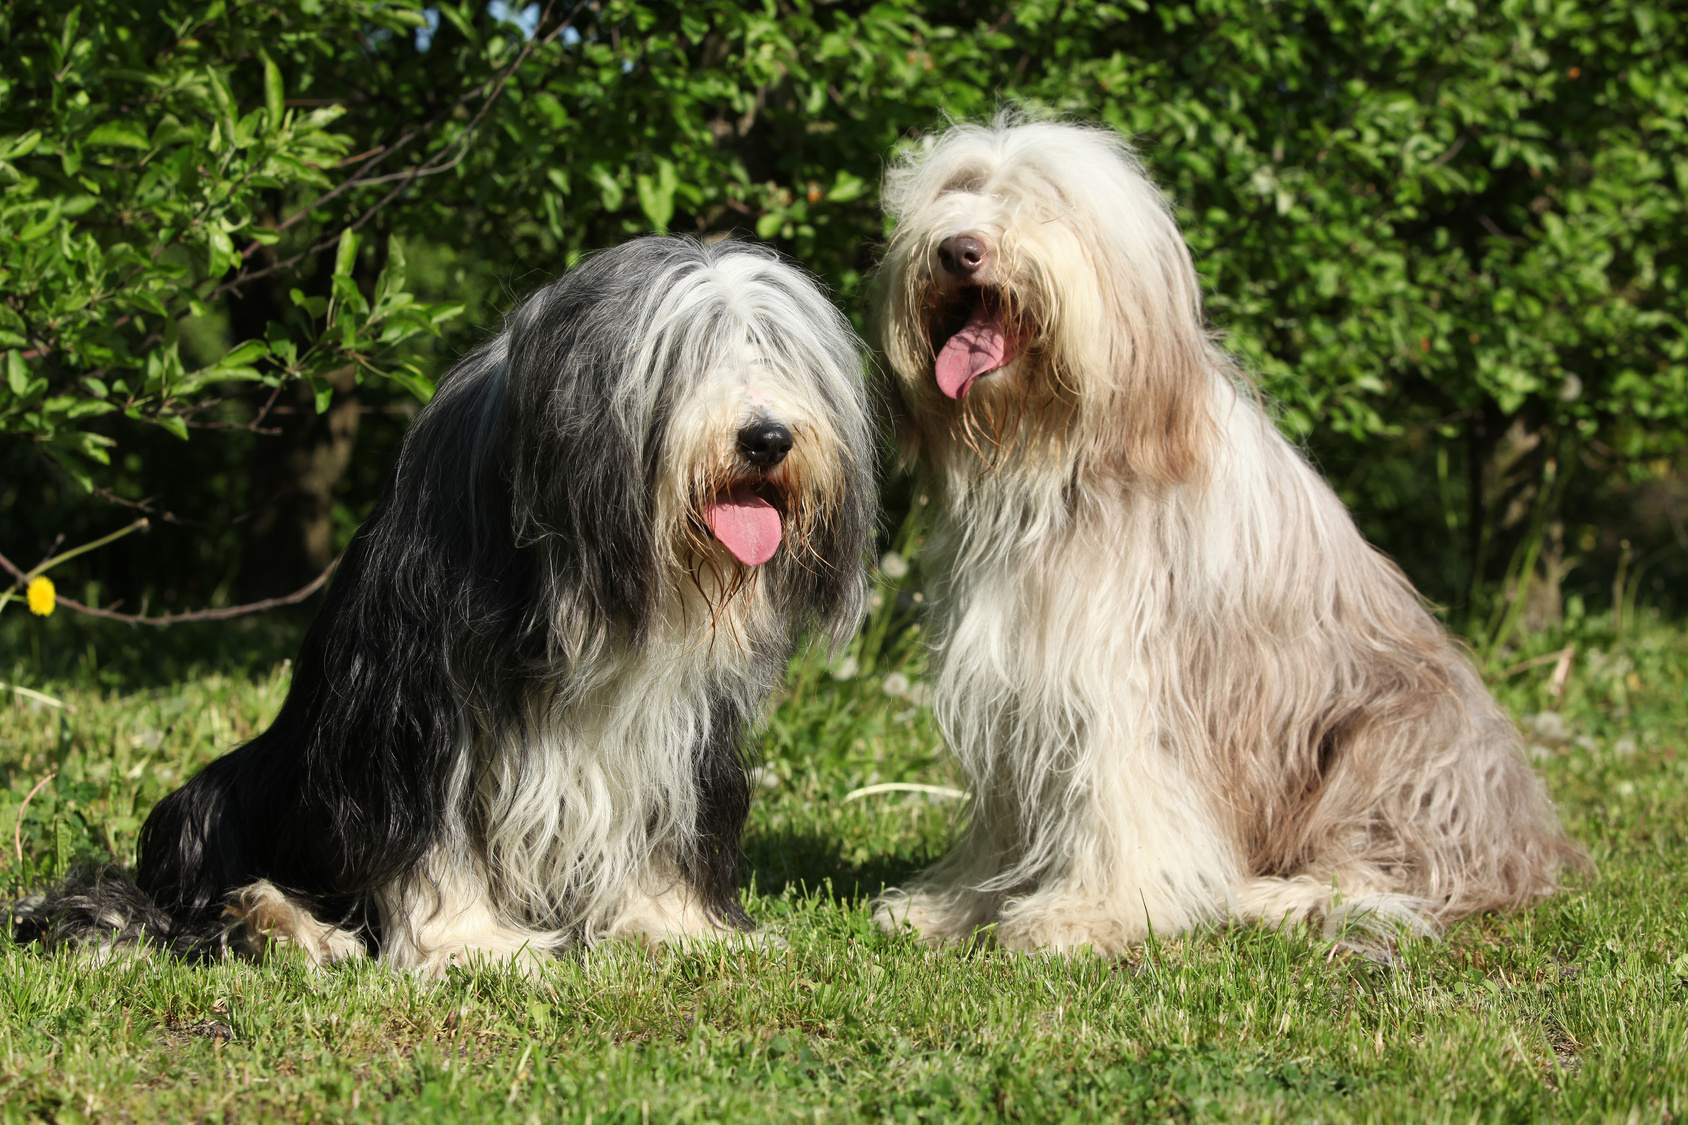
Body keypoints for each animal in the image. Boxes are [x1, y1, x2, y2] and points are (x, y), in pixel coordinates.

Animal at [19, 236, 877, 972]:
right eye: (680, 357)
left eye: (776, 351)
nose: (767, 438)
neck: (580, 579)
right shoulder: (413, 715)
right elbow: (435, 838)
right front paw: (471, 941)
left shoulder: (682, 728)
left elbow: (668, 824)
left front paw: (675, 923)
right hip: (222, 796)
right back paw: (282, 921)